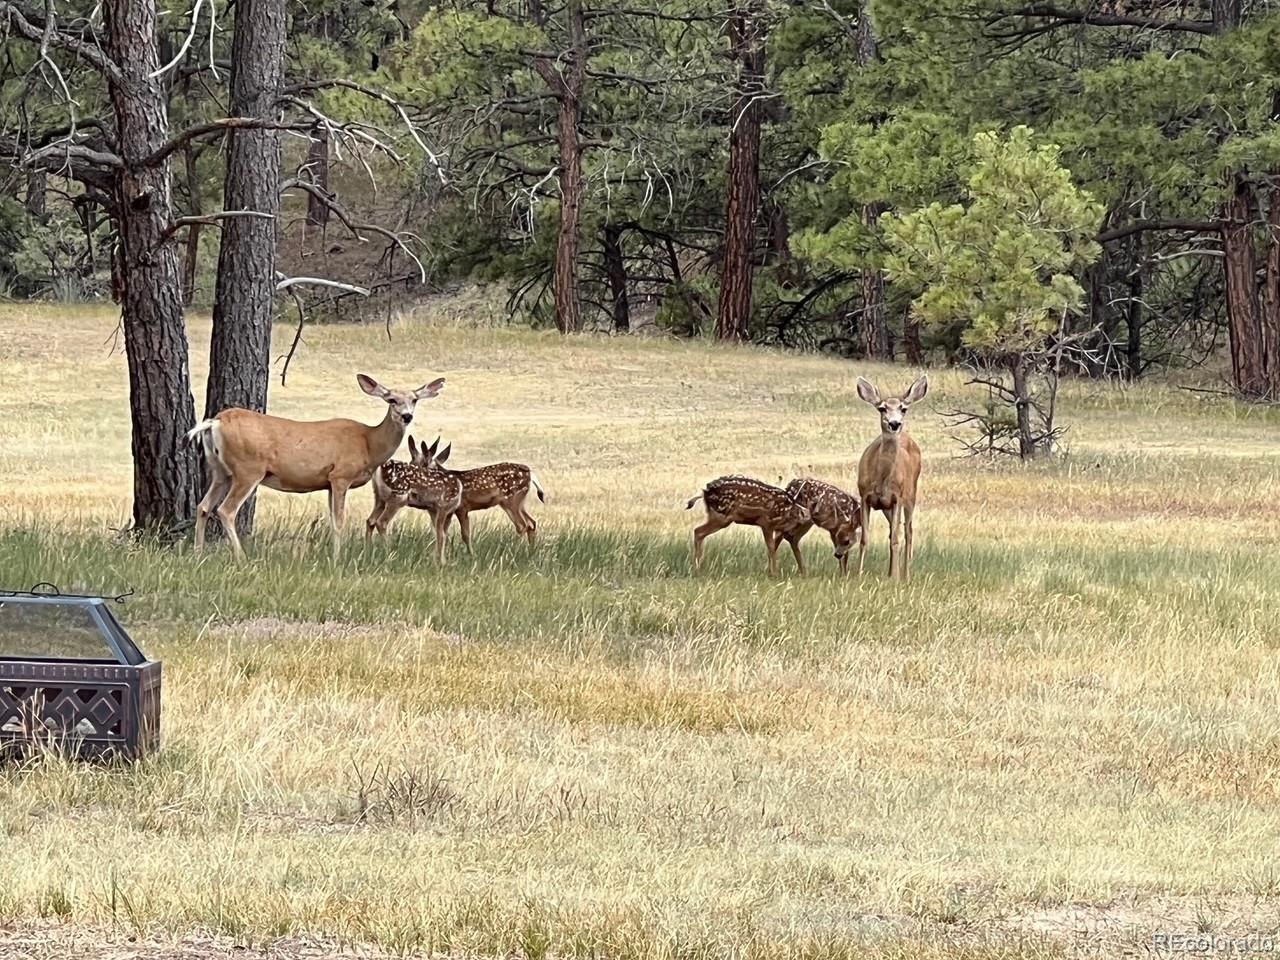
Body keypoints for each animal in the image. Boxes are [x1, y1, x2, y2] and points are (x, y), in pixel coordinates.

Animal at [187, 374, 445, 561]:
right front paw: (338, 559)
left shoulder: (329, 482)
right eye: (391, 399)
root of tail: (215, 422)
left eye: (414, 399)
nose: (407, 416)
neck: (369, 444)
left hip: (221, 471)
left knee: (203, 506)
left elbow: (332, 520)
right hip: (248, 469)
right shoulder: (341, 475)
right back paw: (242, 558)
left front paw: (332, 554)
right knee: (225, 510)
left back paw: (198, 554)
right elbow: (340, 520)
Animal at [411, 436, 546, 550]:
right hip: (517, 502)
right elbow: (445, 533)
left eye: (419, 464)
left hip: (512, 500)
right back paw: (530, 551)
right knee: (531, 523)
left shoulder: (462, 507)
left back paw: (513, 550)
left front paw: (470, 555)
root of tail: (530, 473)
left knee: (523, 525)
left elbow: (465, 535)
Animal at [854, 375, 928, 581]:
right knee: (893, 531)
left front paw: (894, 578)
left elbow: (896, 539)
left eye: (903, 408)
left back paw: (905, 575)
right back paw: (891, 572)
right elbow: (864, 538)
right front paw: (858, 574)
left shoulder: (897, 498)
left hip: (910, 495)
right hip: (886, 507)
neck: (881, 481)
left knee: (908, 531)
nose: (895, 424)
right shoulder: (864, 496)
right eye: (882, 408)